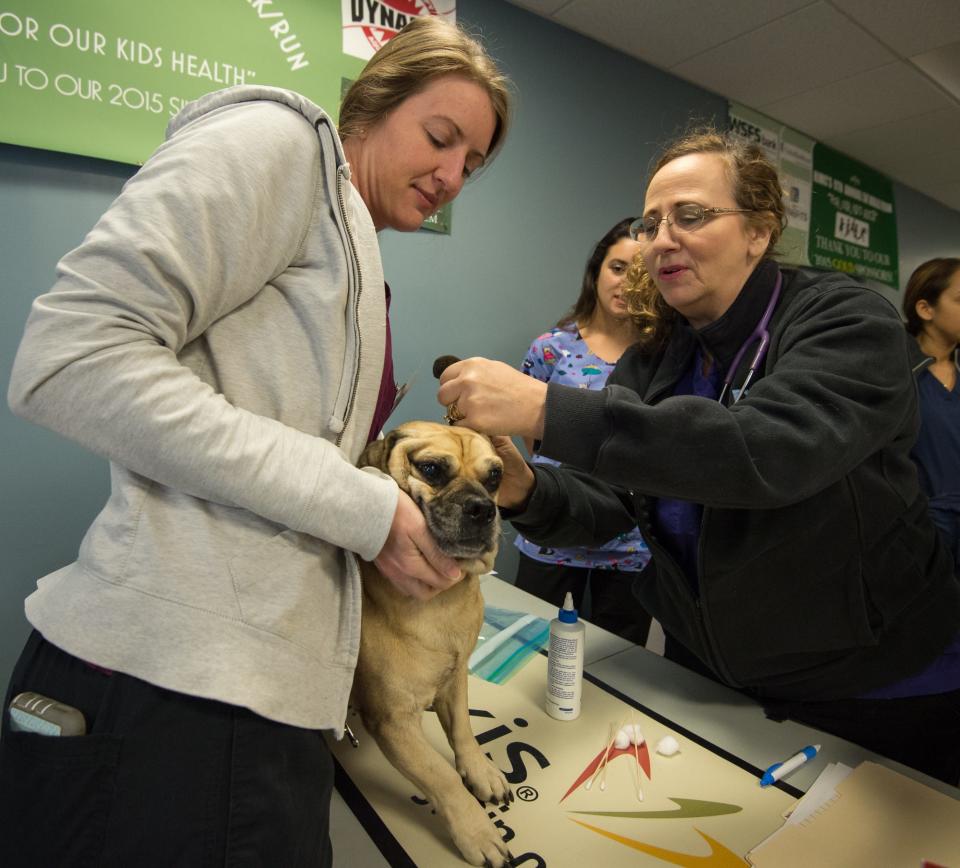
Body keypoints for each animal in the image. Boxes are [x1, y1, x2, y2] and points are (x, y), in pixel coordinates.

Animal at [352, 418, 516, 860]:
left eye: (494, 476)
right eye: (430, 469)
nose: (482, 508)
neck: (445, 600)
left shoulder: (456, 680)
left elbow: (463, 733)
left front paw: (480, 771)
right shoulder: (393, 721)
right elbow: (442, 777)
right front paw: (476, 832)